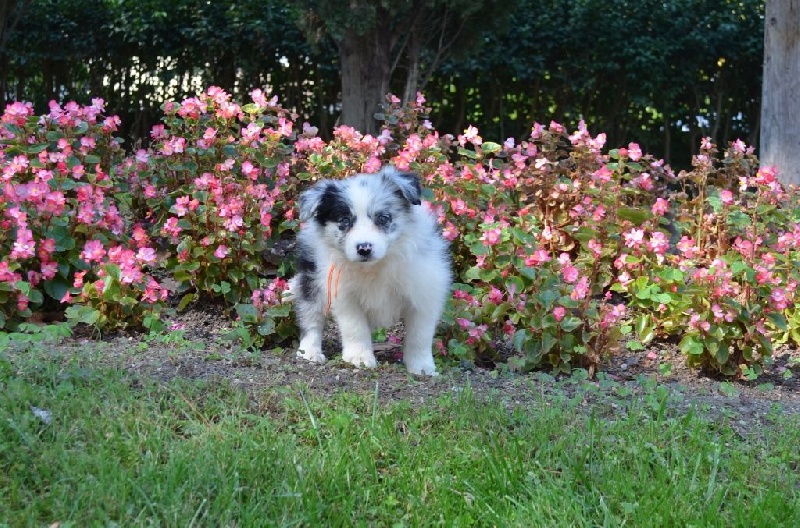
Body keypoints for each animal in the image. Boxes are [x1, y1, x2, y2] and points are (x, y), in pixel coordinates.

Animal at [288, 166, 451, 375]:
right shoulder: (344, 295)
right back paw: (309, 352)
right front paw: (359, 357)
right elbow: (355, 327)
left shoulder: (424, 294)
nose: (364, 248)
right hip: (312, 278)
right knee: (311, 316)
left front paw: (421, 366)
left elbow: (419, 335)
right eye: (344, 221)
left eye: (383, 218)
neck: (374, 266)